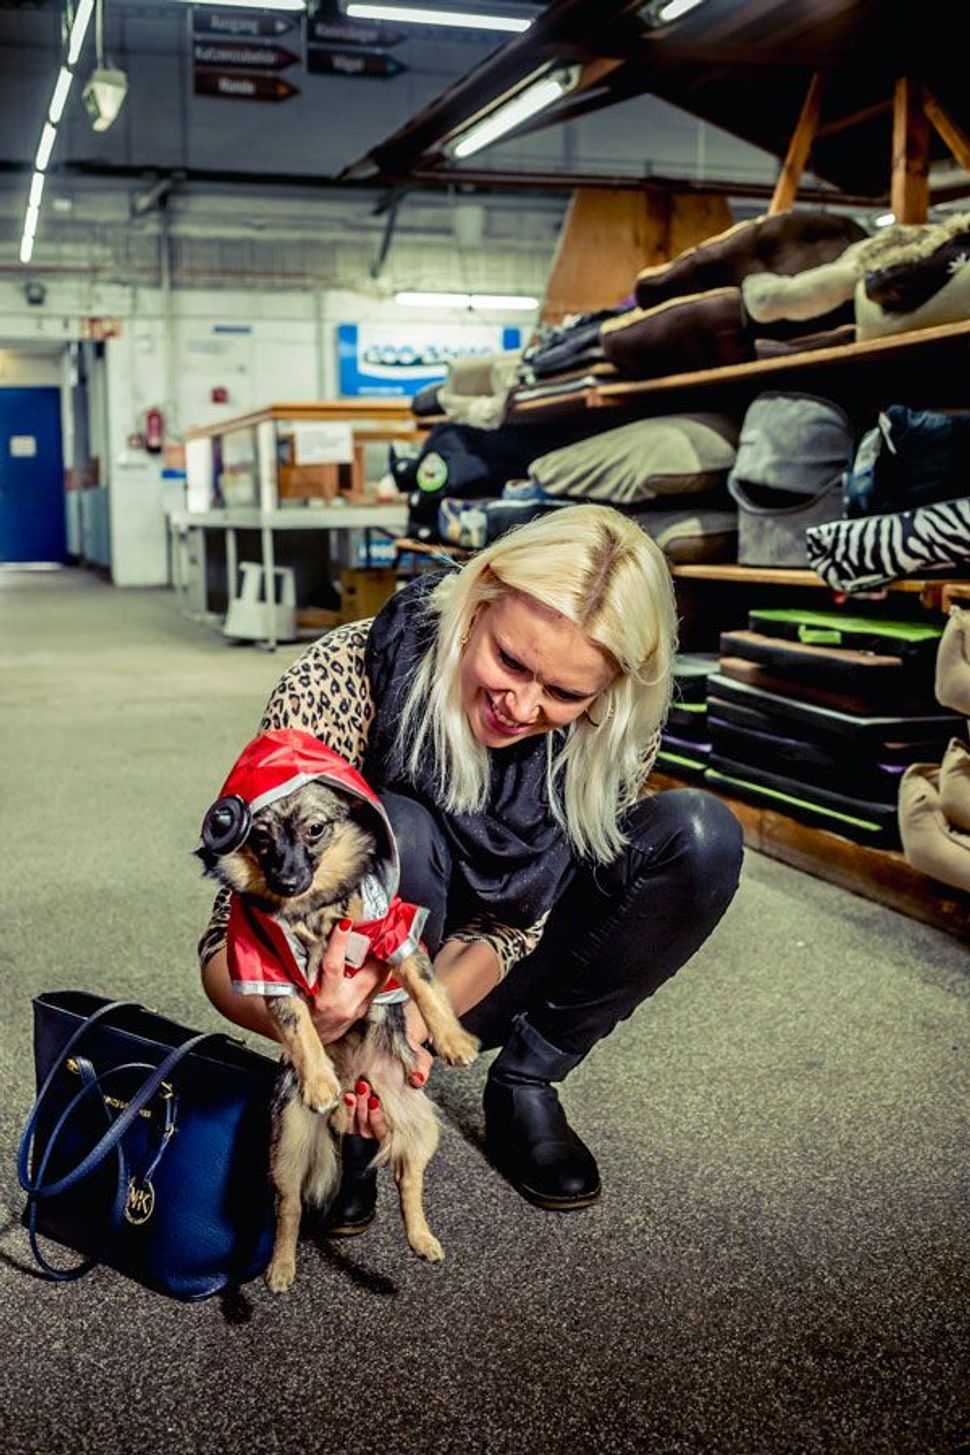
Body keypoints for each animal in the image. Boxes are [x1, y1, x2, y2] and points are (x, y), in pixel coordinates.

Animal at [199, 733, 479, 1292]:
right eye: (260, 837)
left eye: (315, 829)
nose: (287, 879)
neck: (311, 910)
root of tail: (363, 1087)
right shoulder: (265, 967)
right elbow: (301, 1026)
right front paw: (320, 1079)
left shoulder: (394, 930)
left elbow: (423, 984)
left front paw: (452, 1039)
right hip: (287, 1145)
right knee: (288, 1208)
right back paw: (280, 1266)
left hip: (422, 1127)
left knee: (408, 1180)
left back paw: (421, 1238)